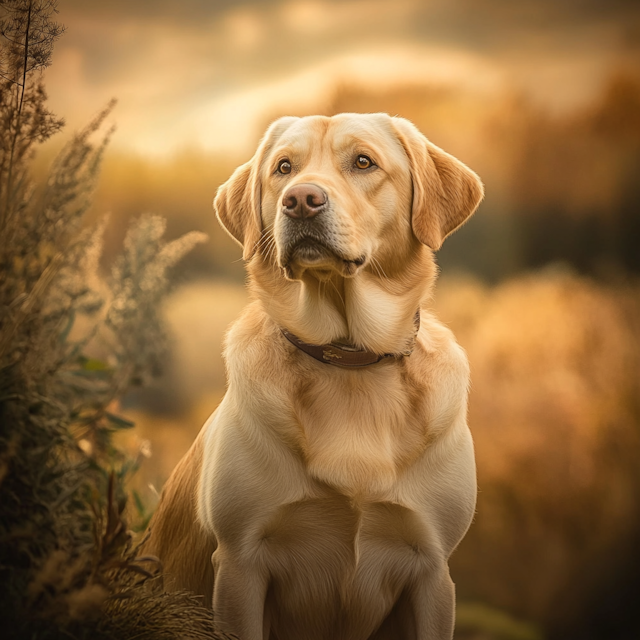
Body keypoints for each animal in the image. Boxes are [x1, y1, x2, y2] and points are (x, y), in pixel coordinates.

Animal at [144, 112, 484, 636]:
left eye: (363, 162)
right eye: (284, 168)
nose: (301, 199)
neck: (349, 359)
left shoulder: (432, 572)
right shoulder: (240, 565)